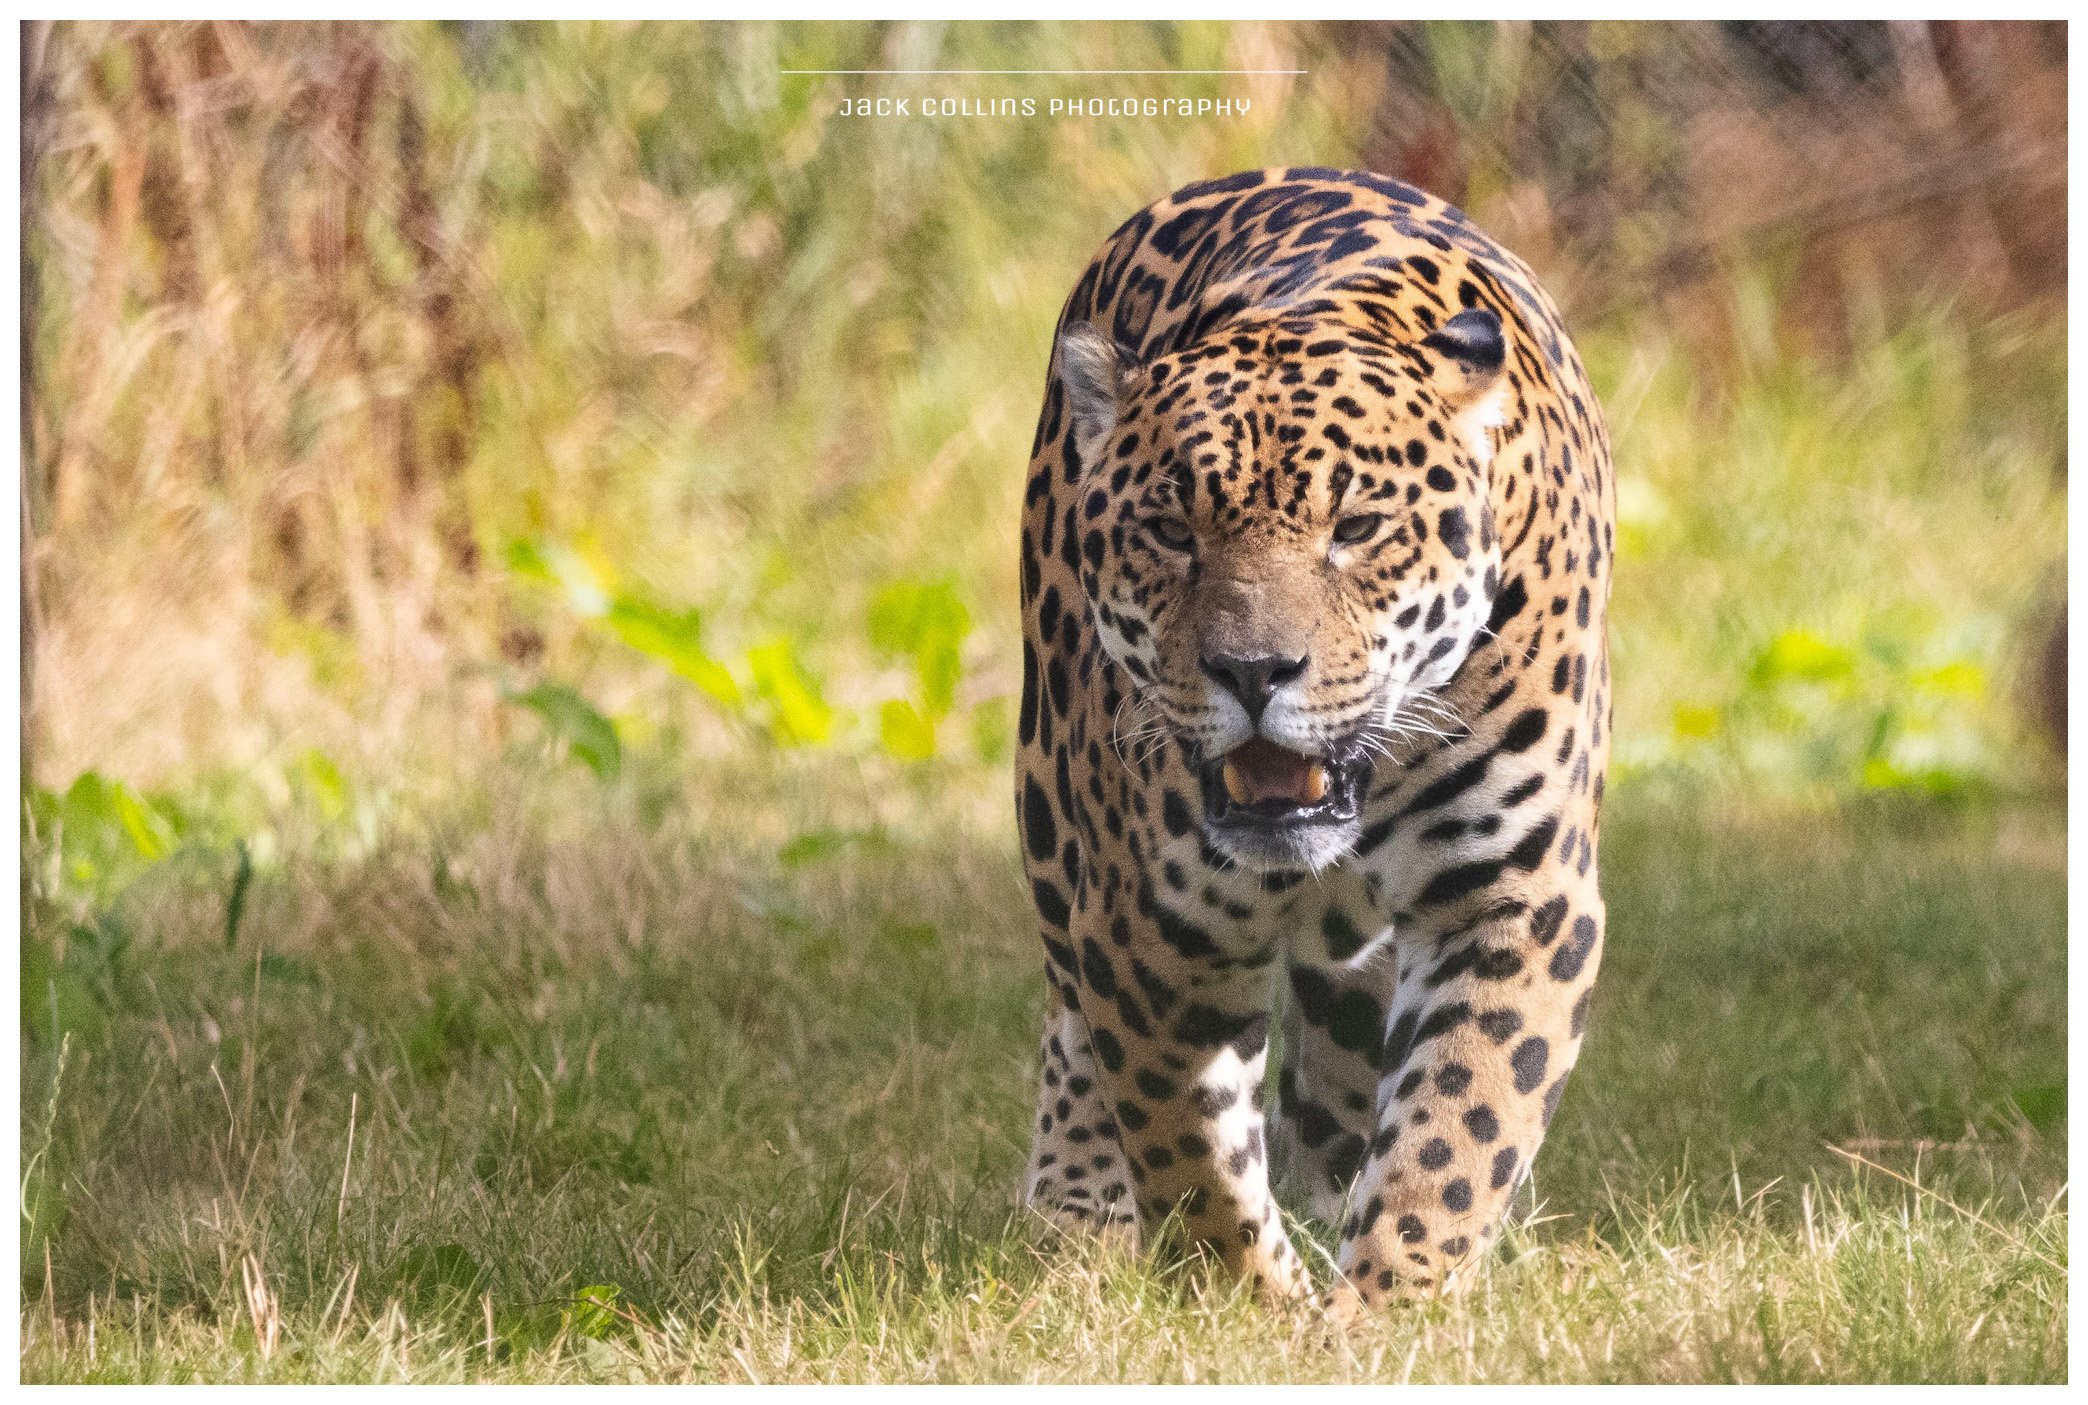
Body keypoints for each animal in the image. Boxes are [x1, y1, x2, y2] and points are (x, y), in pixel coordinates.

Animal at [1014, 166, 1613, 1315]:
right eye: (1173, 532)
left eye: (1358, 529)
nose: (1253, 672)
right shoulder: (1151, 925)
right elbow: (1190, 1149)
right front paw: (1253, 1303)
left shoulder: (1514, 896)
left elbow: (1456, 1130)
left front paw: (1386, 1310)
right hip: (1052, 813)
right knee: (1071, 1019)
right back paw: (1075, 1208)